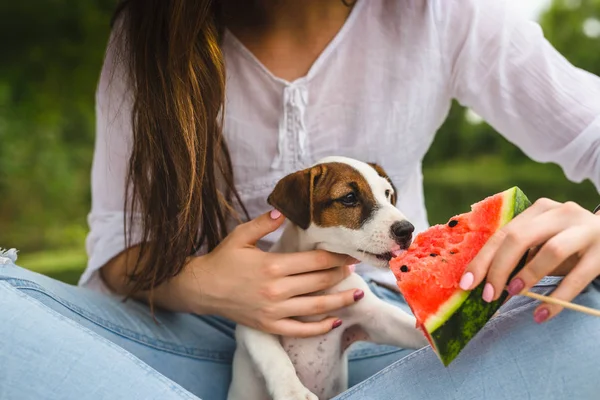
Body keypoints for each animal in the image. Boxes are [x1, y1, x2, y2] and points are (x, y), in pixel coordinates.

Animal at [227, 156, 428, 400]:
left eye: (387, 193)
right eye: (349, 198)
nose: (407, 230)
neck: (319, 289)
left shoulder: (374, 319)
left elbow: (408, 325)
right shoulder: (253, 324)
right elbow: (275, 357)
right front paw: (292, 391)